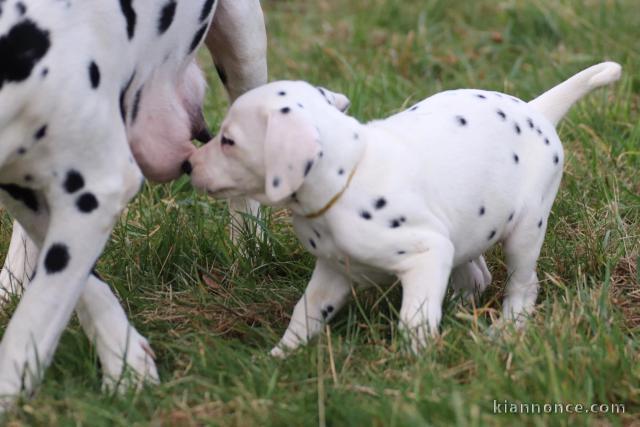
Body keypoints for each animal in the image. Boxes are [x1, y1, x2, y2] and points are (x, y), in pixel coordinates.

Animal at [0, 0, 266, 412]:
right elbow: (80, 286)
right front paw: (128, 364)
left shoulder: (98, 187)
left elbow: (35, 316)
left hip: (244, 43)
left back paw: (250, 246)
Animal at [188, 62, 624, 358]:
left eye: (228, 141)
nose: (189, 164)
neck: (349, 173)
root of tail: (537, 110)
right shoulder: (332, 270)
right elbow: (305, 312)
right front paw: (280, 356)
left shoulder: (427, 253)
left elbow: (414, 318)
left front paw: (417, 362)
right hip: (465, 229)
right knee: (476, 276)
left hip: (526, 229)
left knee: (523, 284)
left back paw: (507, 329)